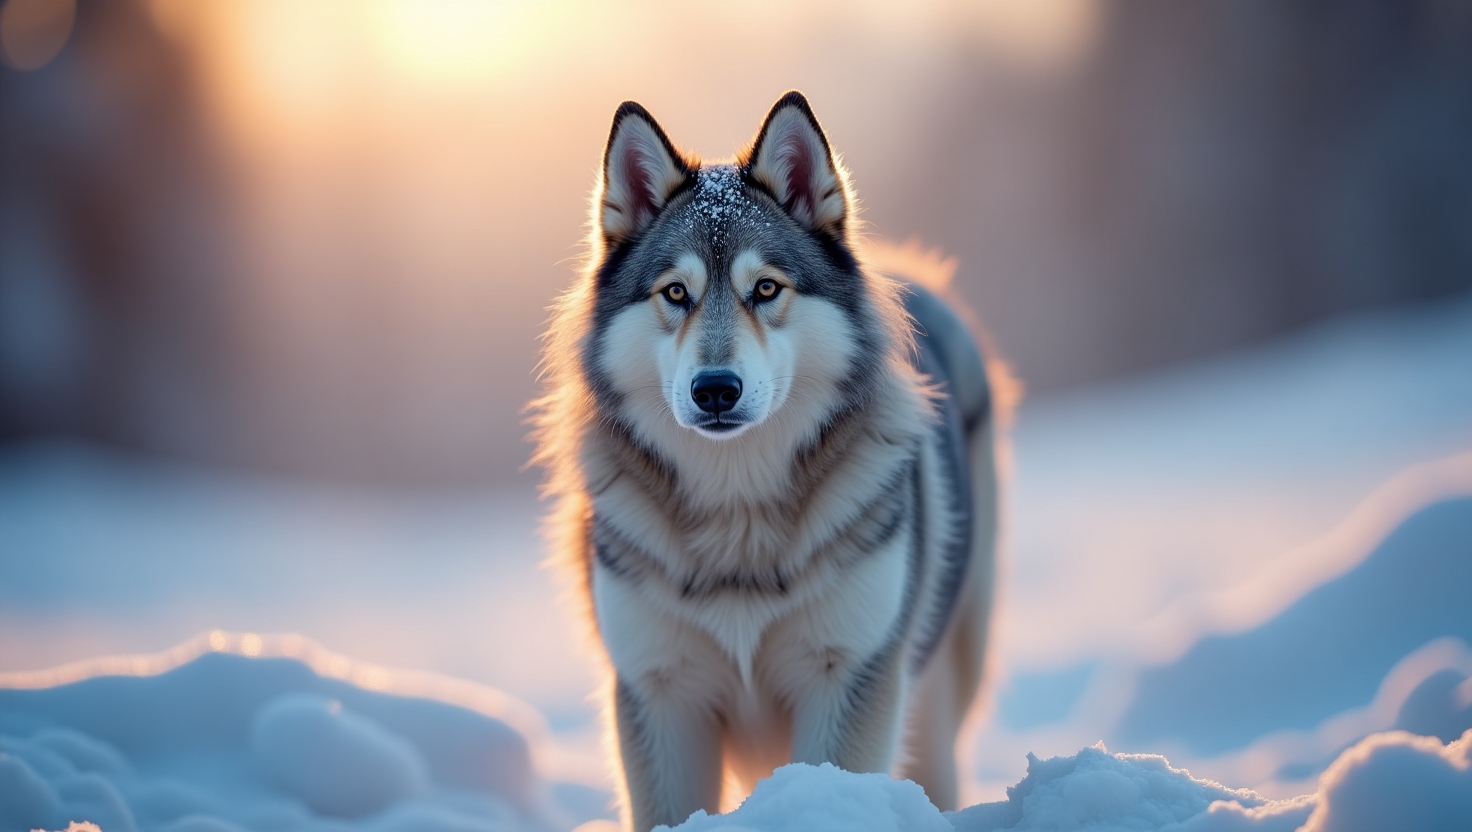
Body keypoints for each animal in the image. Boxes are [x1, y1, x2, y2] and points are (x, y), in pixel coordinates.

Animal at [529, 90, 1000, 830]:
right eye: (676, 293)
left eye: (767, 289)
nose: (716, 390)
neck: (738, 518)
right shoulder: (660, 693)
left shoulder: (849, 677)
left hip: (946, 679)